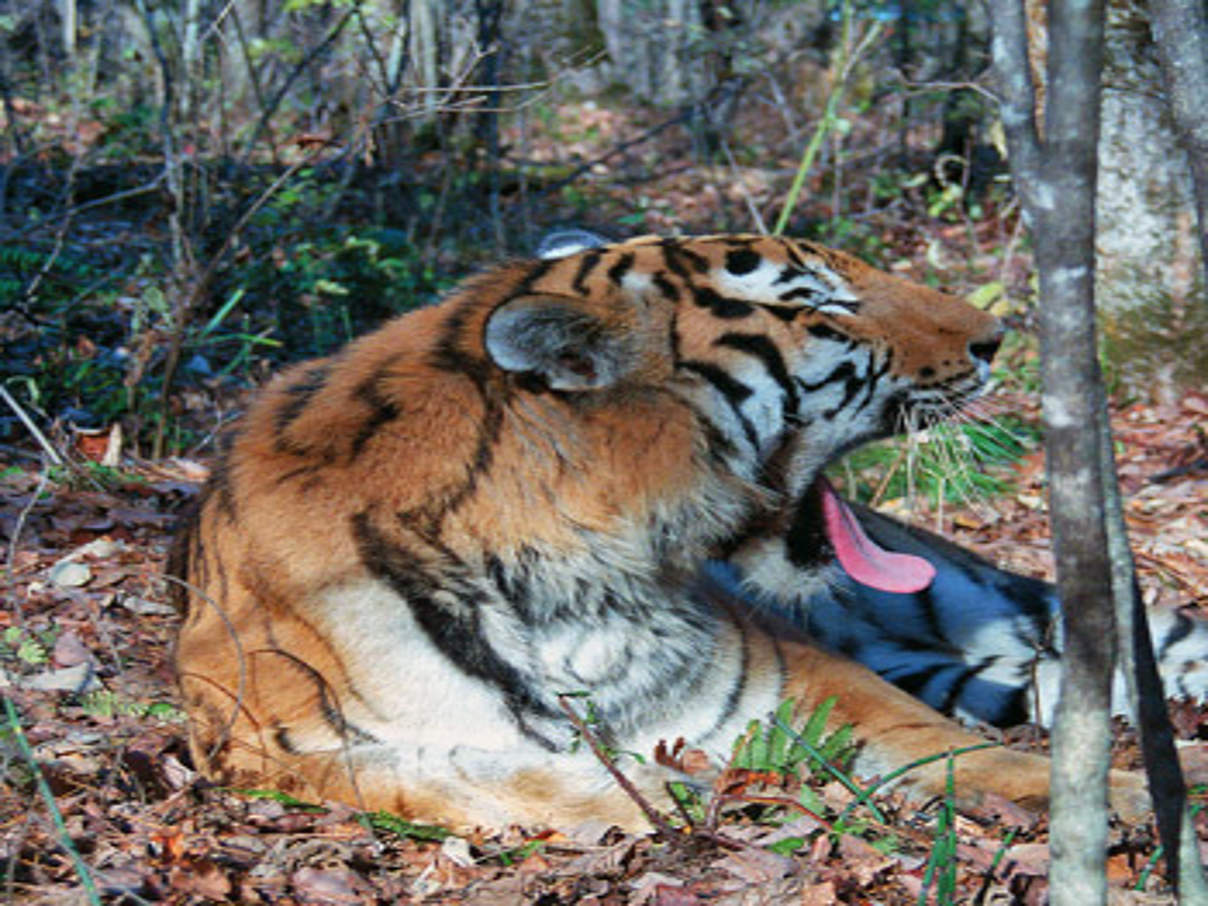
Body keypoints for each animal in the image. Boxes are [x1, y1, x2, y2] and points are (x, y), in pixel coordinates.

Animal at [167, 228, 1169, 831]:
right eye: (818, 302)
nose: (997, 339)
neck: (574, 577)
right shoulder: (253, 735)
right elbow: (423, 771)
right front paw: (636, 792)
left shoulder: (795, 678)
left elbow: (965, 751)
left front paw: (1147, 792)